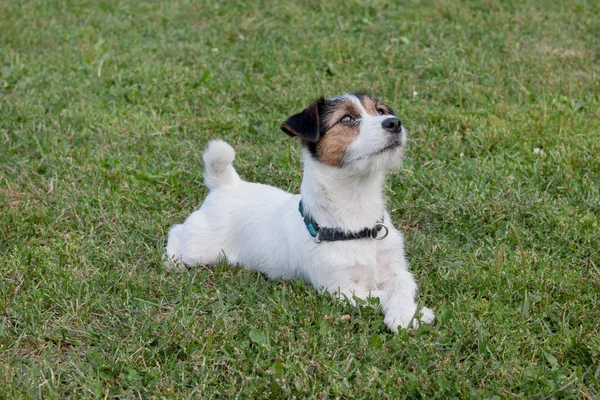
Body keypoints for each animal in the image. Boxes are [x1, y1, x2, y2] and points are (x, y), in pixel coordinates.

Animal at [166, 94, 434, 332]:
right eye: (347, 118)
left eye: (380, 111)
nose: (394, 122)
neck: (357, 217)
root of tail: (227, 185)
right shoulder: (341, 289)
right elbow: (381, 296)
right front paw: (413, 314)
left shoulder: (398, 270)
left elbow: (401, 289)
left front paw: (407, 313)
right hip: (203, 250)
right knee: (177, 230)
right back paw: (172, 260)